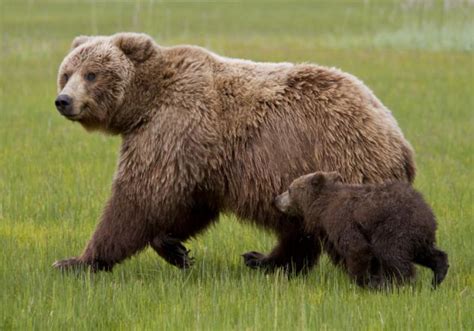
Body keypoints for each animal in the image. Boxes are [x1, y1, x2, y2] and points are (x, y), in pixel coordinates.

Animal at [51, 32, 414, 274]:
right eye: (66, 74)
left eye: (92, 74)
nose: (63, 100)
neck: (144, 103)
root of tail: (396, 133)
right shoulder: (200, 156)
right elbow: (188, 205)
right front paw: (176, 249)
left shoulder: (174, 129)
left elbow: (140, 199)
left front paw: (76, 261)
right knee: (297, 229)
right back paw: (264, 260)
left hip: (345, 160)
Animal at [274, 172, 448, 290]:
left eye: (289, 189)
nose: (276, 199)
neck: (323, 209)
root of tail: (428, 214)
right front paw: (374, 280)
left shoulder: (343, 220)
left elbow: (357, 248)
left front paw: (363, 282)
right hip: (418, 237)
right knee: (428, 253)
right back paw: (437, 277)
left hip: (395, 228)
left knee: (392, 254)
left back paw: (402, 283)